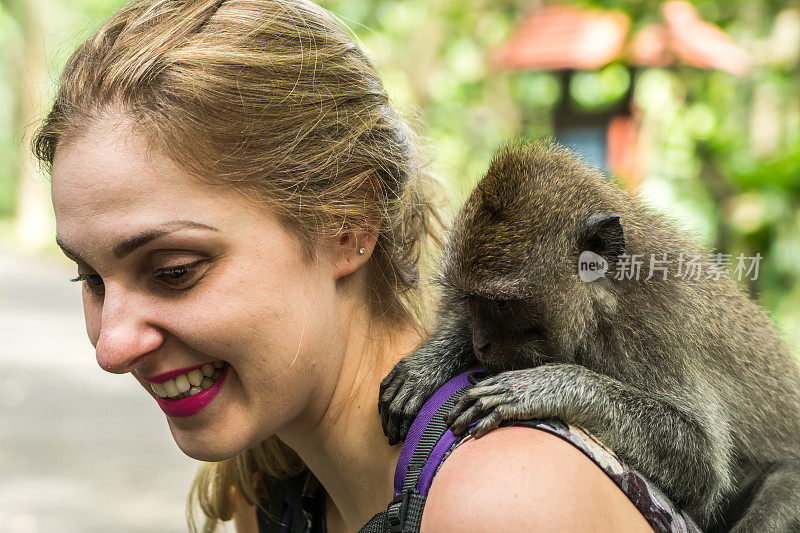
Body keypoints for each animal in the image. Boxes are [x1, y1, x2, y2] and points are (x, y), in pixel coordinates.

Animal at [378, 142, 800, 532]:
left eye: (501, 305)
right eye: (470, 300)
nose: (482, 344)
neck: (607, 301)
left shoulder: (658, 330)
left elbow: (702, 464)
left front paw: (545, 387)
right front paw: (433, 360)